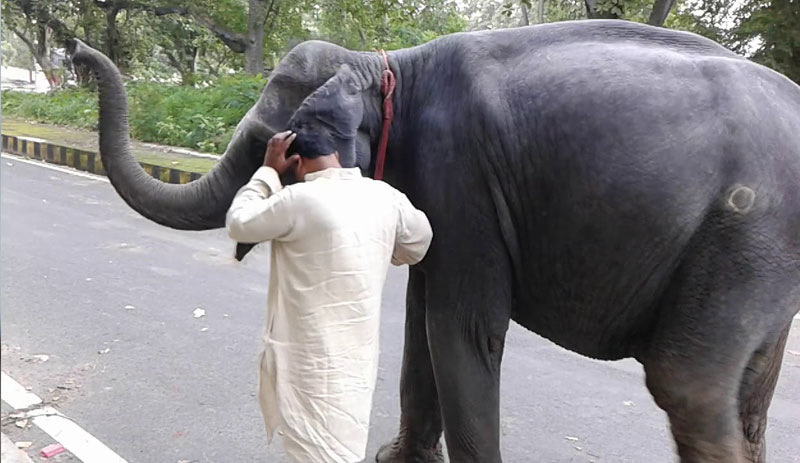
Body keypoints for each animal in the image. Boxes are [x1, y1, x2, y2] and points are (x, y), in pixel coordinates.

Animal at [70, 17, 800, 463]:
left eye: (266, 142)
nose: (77, 51)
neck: (389, 65)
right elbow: (422, 316)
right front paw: (399, 458)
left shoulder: (462, 175)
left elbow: (459, 328)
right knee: (747, 392)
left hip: (747, 233)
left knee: (689, 385)